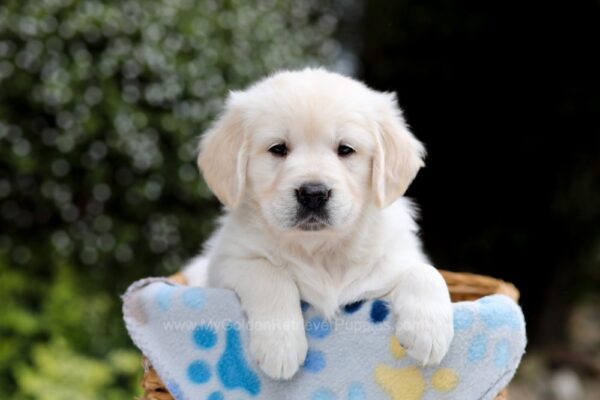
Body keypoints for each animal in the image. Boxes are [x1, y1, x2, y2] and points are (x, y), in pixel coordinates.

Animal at [180, 68, 452, 378]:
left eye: (345, 149)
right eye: (278, 148)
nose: (313, 194)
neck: (320, 250)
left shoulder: (391, 263)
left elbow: (425, 272)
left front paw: (429, 332)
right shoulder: (225, 263)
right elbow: (268, 272)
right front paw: (281, 346)